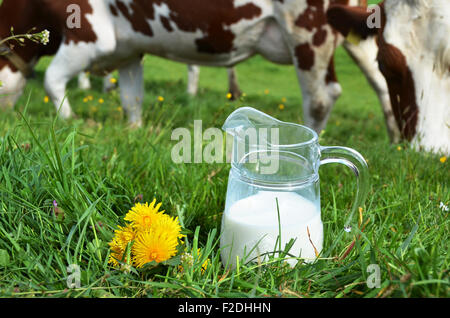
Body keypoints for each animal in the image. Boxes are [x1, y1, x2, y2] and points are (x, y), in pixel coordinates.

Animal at [0, 0, 400, 140]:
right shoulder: (128, 48)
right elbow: (132, 98)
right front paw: (133, 132)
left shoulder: (90, 30)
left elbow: (52, 80)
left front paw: (72, 123)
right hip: (354, 30)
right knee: (381, 79)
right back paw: (396, 138)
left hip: (308, 28)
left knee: (320, 97)